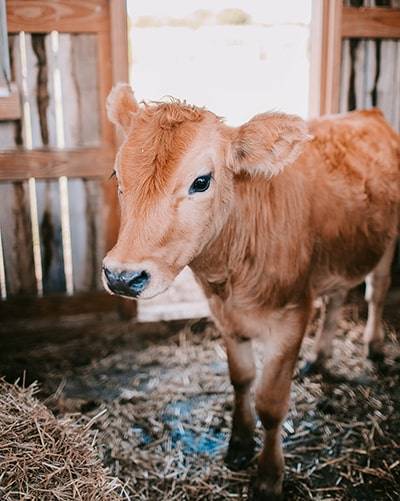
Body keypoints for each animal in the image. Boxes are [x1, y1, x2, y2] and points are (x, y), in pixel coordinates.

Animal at [103, 84, 400, 498]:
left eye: (201, 181)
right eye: (117, 174)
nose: (122, 276)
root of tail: (368, 113)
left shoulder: (292, 315)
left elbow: (271, 405)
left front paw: (268, 476)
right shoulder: (224, 315)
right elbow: (241, 379)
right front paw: (240, 444)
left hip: (389, 237)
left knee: (377, 288)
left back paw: (373, 346)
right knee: (337, 297)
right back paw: (320, 357)